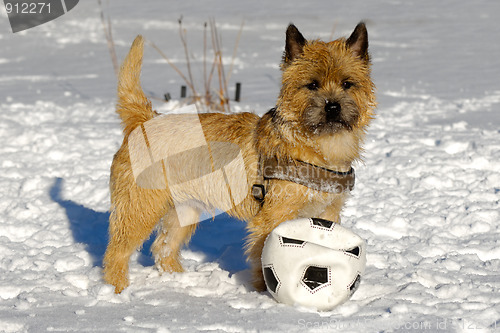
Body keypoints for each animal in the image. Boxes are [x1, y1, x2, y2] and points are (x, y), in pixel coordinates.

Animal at [104, 22, 376, 292]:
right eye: (312, 85)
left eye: (347, 84)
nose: (332, 106)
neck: (320, 145)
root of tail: (145, 120)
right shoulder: (273, 217)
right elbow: (264, 258)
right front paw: (264, 293)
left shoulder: (328, 212)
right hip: (140, 208)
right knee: (117, 252)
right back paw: (118, 290)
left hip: (184, 210)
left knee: (163, 248)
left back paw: (180, 282)